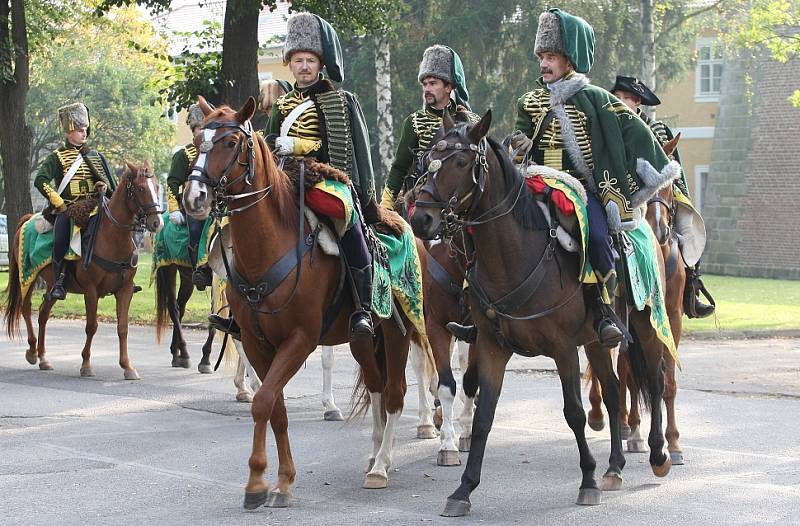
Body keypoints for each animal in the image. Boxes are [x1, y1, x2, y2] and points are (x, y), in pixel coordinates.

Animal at [4, 161, 164, 380]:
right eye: (140, 188)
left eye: (156, 187)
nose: (157, 223)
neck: (111, 237)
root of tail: (28, 219)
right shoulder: (91, 290)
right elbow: (91, 326)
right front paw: (86, 364)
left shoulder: (125, 290)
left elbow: (123, 328)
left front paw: (127, 367)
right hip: (28, 276)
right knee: (26, 309)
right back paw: (32, 352)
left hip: (52, 284)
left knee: (43, 314)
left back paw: (44, 358)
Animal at [182, 97, 432, 510]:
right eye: (196, 139)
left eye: (231, 143)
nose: (194, 197)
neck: (269, 248)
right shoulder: (257, 342)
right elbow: (275, 408)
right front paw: (273, 482)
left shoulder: (299, 340)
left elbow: (263, 401)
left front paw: (263, 483)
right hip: (362, 340)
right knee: (377, 387)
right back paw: (375, 454)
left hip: (396, 333)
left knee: (396, 393)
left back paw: (382, 466)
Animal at [410, 109, 672, 516]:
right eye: (427, 160)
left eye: (461, 161)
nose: (421, 219)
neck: (515, 257)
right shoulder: (492, 347)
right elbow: (483, 416)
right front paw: (463, 489)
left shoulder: (563, 349)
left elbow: (574, 413)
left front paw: (587, 480)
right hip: (596, 340)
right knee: (614, 392)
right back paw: (614, 467)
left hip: (647, 324)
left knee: (656, 380)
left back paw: (658, 455)